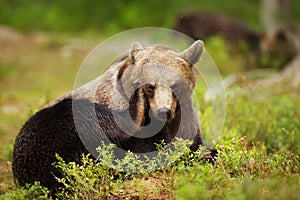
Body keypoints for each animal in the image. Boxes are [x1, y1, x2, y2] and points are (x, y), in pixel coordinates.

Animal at [12, 39, 216, 191]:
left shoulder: (186, 119)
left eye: (175, 85)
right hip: (51, 130)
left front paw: (207, 153)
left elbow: (193, 143)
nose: (163, 111)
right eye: (150, 86)